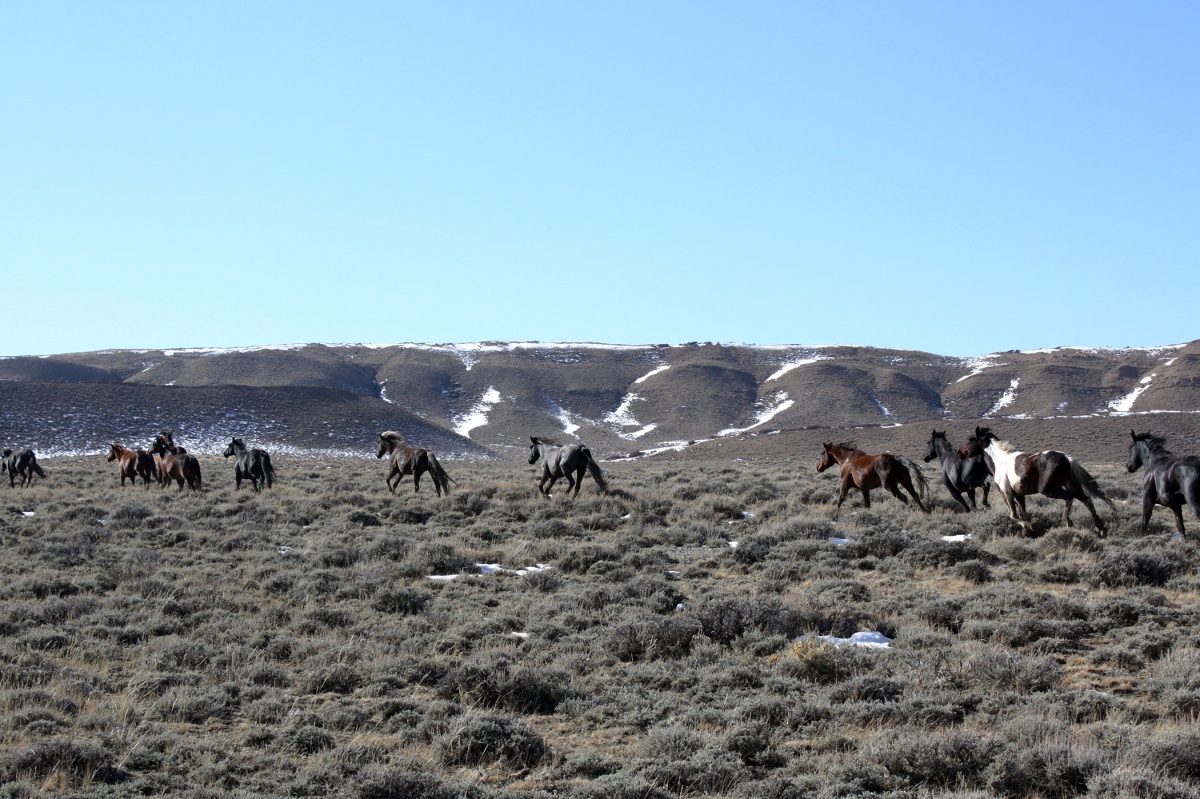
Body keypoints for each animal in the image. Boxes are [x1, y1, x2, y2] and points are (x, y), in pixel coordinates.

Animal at [974, 427, 1113, 532]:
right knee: (1087, 500)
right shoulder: (1019, 494)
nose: (965, 453)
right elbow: (1023, 514)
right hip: (1072, 485)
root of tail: (1067, 458)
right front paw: (1028, 532)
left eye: (971, 440)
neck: (1000, 460)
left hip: (1048, 489)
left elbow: (1013, 516)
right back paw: (1100, 527)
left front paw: (1031, 527)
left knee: (1070, 497)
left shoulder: (1007, 494)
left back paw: (1067, 522)